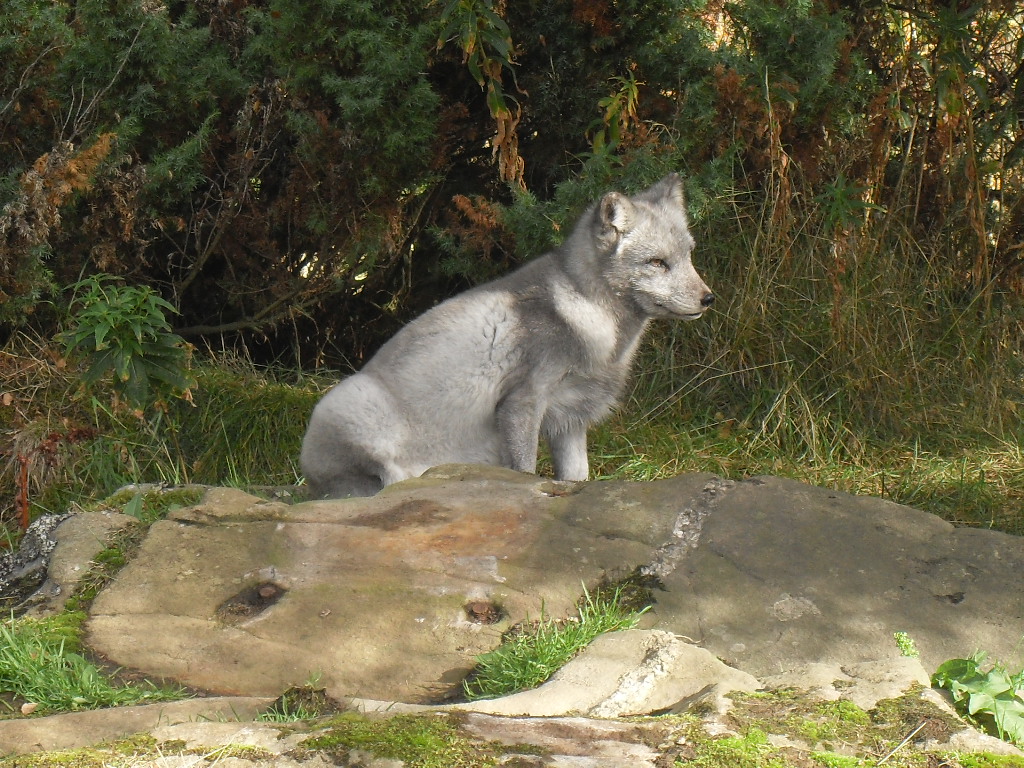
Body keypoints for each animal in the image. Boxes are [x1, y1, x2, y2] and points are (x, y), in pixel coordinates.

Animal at [300, 173, 714, 499]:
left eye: (689, 256)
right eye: (657, 263)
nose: (708, 299)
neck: (586, 317)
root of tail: (309, 482)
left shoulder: (569, 420)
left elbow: (576, 479)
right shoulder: (522, 403)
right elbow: (526, 473)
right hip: (351, 403)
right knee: (386, 483)